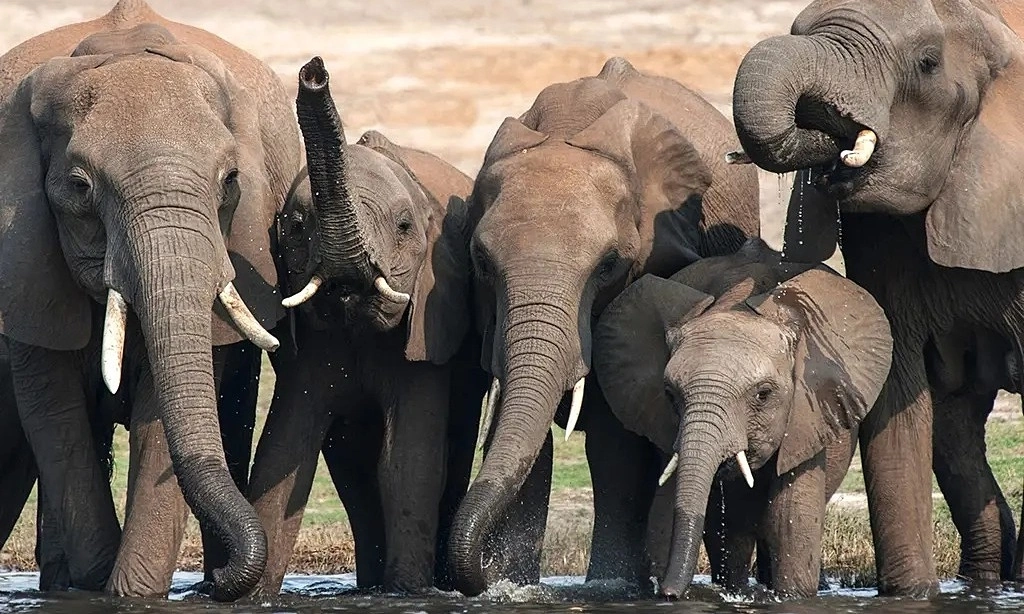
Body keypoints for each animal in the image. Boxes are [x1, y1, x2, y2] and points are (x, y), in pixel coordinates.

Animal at [0, 0, 307, 600]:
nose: (219, 584)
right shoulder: (23, 263)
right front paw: (93, 584)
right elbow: (54, 409)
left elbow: (162, 418)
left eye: (231, 180)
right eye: (80, 188)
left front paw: (133, 595)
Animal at [246, 57, 485, 595]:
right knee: (351, 467)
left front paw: (407, 592)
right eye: (295, 227)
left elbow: (407, 462)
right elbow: (283, 453)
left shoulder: (428, 327)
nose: (314, 71)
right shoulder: (309, 349)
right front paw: (250, 595)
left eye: (403, 227)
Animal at [447, 55, 761, 596]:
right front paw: (515, 588)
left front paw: (610, 588)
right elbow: (527, 437)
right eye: (481, 262)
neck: (565, 127)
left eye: (609, 265)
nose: (481, 577)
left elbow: (615, 442)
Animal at [592, 238, 892, 598]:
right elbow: (666, 511)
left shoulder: (809, 413)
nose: (669, 592)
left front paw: (791, 597)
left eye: (762, 395)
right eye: (670, 394)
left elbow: (789, 519)